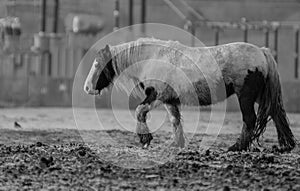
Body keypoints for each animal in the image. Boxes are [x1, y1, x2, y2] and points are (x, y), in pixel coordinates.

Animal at [82, 38, 296, 152]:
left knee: (250, 119)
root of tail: (262, 52)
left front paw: (145, 139)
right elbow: (175, 120)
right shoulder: (169, 101)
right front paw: (177, 144)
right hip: (260, 96)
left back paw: (237, 147)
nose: (86, 88)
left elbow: (140, 111)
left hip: (246, 97)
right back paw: (286, 145)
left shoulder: (155, 96)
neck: (152, 57)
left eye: (97, 64)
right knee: (277, 114)